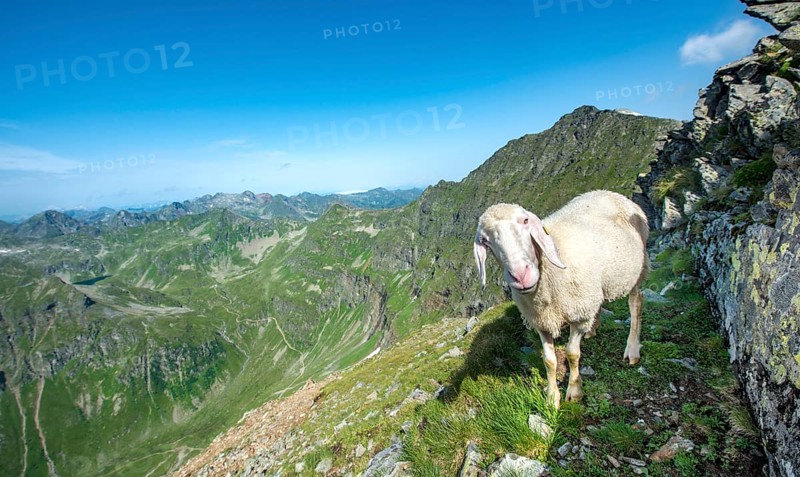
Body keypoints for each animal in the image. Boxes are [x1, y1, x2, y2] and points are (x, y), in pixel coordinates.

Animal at [473, 190, 649, 408]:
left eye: (525, 221)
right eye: (485, 240)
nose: (521, 276)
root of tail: (611, 193)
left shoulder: (578, 315)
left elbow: (572, 354)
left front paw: (574, 391)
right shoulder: (541, 320)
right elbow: (549, 361)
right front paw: (551, 398)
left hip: (637, 269)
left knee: (636, 303)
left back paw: (632, 349)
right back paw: (592, 329)